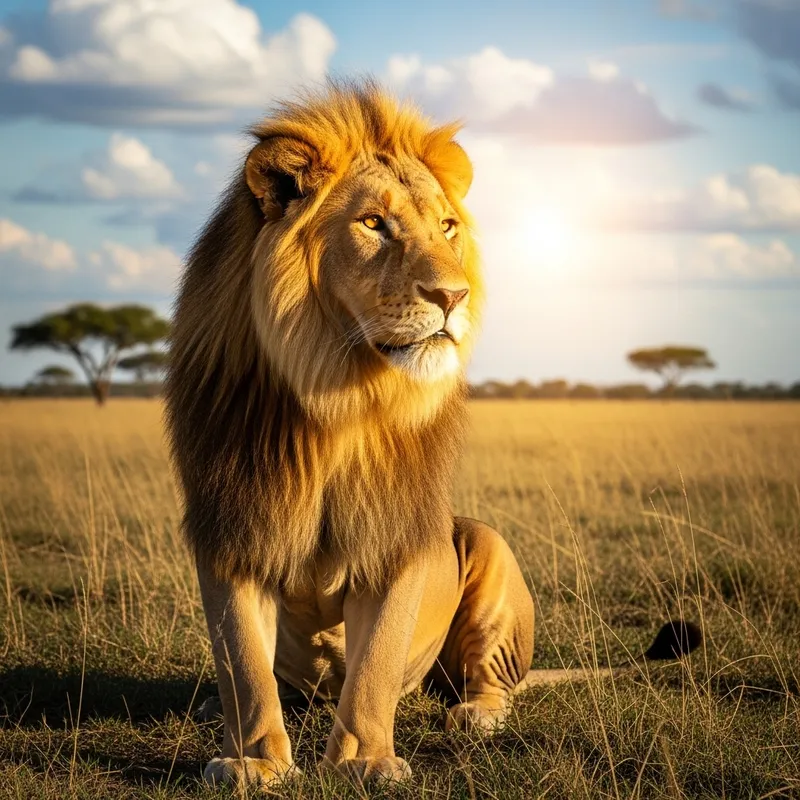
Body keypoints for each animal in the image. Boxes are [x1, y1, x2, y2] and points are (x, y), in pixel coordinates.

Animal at [164, 80, 700, 791]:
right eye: (373, 224)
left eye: (447, 226)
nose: (454, 296)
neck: (338, 395)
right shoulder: (233, 529)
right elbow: (246, 669)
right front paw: (255, 763)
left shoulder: (398, 534)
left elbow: (375, 662)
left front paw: (364, 762)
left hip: (488, 549)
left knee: (486, 682)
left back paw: (475, 714)